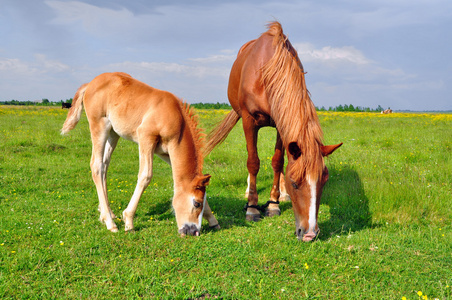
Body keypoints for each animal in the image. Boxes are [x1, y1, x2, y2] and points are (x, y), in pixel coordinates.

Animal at [61, 71, 219, 236]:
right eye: (196, 203)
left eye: (201, 203)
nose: (193, 232)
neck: (175, 118)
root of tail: (90, 83)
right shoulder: (146, 138)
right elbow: (145, 176)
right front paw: (129, 221)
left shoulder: (167, 153)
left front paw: (213, 221)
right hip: (99, 125)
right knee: (96, 165)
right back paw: (110, 223)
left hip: (113, 133)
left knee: (104, 166)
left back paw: (107, 214)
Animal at [203, 21, 340, 241]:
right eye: (295, 183)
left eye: (324, 181)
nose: (310, 233)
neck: (267, 71)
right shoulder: (249, 121)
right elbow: (253, 162)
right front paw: (252, 208)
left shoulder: (280, 125)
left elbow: (278, 162)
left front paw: (274, 204)